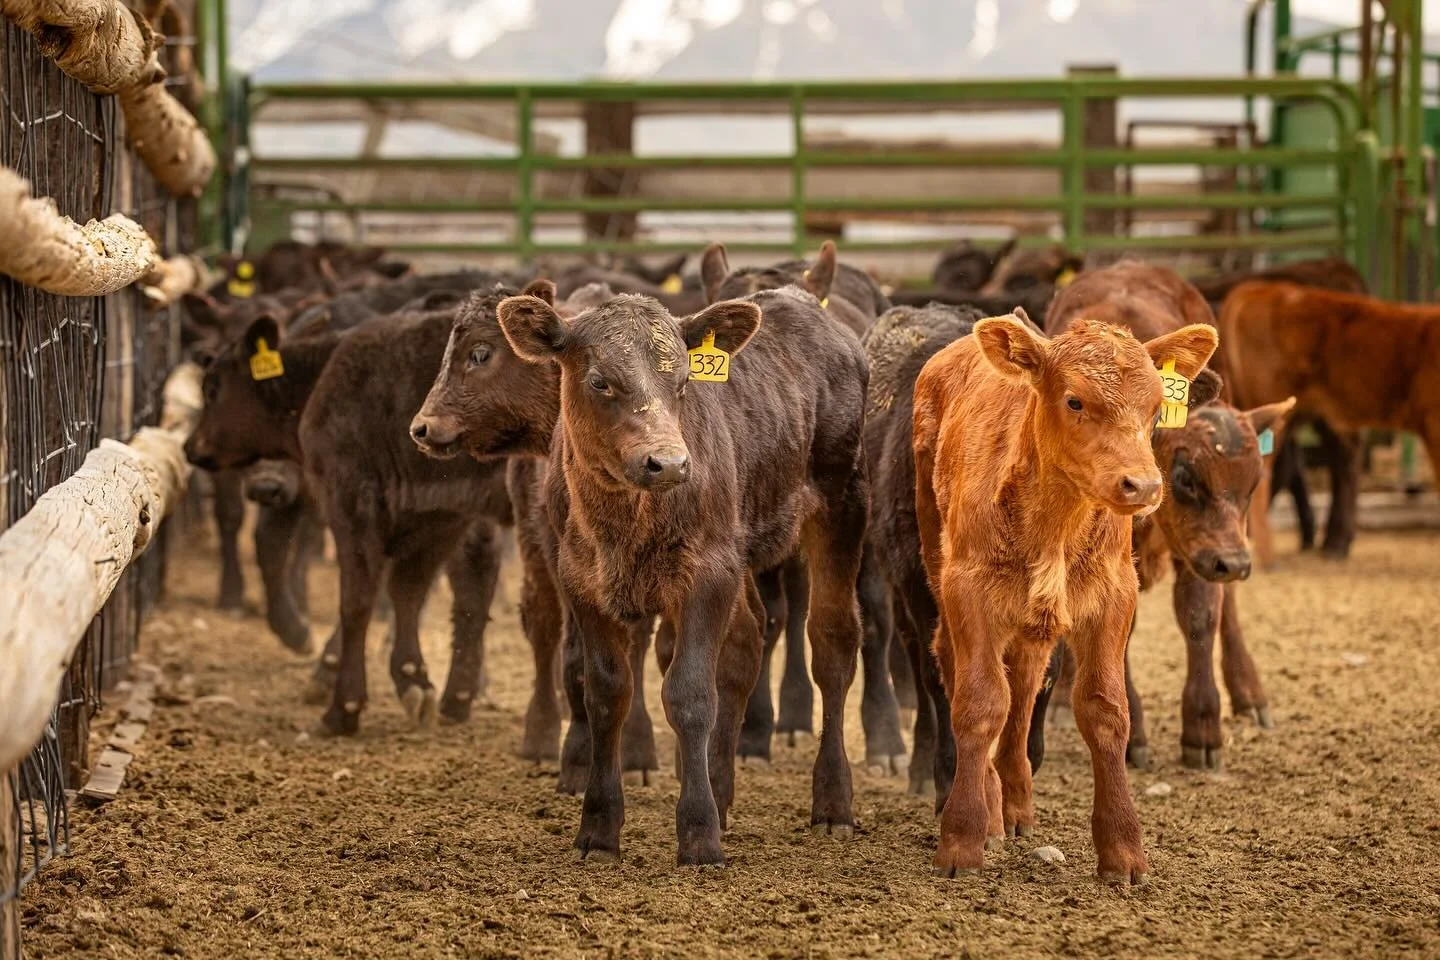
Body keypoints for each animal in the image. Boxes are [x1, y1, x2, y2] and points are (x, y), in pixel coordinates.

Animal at [492, 285, 869, 865]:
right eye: (599, 380)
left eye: (685, 381)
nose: (668, 463)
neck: (627, 520)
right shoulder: (581, 580)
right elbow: (606, 693)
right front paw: (598, 829)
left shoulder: (707, 576)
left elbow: (689, 693)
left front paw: (698, 832)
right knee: (745, 640)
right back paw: (724, 793)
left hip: (842, 505)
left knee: (832, 643)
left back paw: (831, 804)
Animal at [913, 309, 1216, 881]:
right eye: (1075, 401)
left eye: (1154, 409)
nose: (1144, 486)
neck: (1055, 523)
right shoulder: (968, 589)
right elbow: (980, 702)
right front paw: (962, 839)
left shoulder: (1115, 594)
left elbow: (1105, 709)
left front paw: (1122, 850)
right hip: (934, 555)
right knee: (958, 664)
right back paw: (991, 805)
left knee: (1026, 679)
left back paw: (1015, 801)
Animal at [1042, 262, 1291, 770]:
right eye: (1186, 477)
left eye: (1253, 483)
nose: (1235, 563)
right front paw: (1131, 732)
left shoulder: (1201, 548)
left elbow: (1200, 614)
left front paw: (1203, 727)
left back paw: (1248, 692)